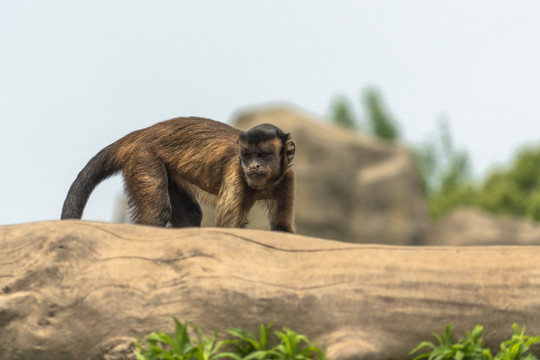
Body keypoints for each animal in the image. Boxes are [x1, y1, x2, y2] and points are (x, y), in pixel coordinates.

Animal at [61, 116, 298, 232]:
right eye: (248, 156)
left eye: (263, 155)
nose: (253, 166)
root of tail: (140, 134)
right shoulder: (235, 172)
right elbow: (228, 228)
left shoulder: (287, 178)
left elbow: (281, 226)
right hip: (143, 157)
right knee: (156, 213)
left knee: (191, 213)